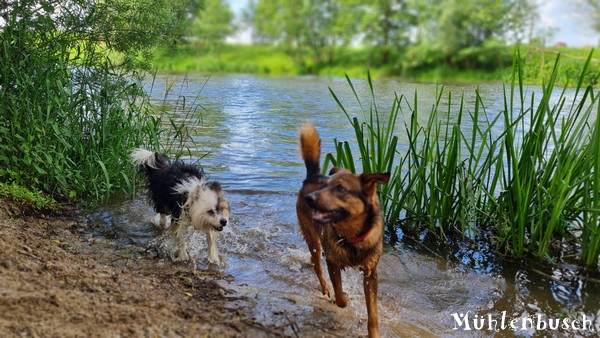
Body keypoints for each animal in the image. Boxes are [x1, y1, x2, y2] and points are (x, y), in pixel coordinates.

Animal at [298, 123, 392, 338]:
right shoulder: (333, 263)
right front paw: (343, 299)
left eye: (340, 188)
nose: (310, 199)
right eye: (325, 186)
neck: (352, 237)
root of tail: (312, 176)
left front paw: (374, 333)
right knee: (317, 265)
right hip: (312, 238)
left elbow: (373, 313)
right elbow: (340, 296)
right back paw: (325, 288)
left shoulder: (371, 274)